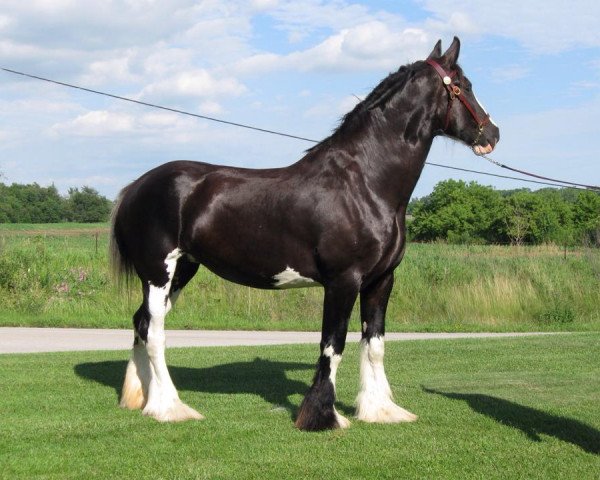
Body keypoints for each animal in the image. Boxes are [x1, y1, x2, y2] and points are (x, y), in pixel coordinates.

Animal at [110, 35, 500, 430]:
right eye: (465, 85)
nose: (493, 133)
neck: (364, 182)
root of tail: (135, 187)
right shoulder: (343, 281)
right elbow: (333, 345)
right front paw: (322, 416)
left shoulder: (381, 280)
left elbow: (374, 344)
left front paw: (380, 410)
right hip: (158, 273)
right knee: (155, 332)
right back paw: (169, 407)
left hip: (182, 270)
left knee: (141, 322)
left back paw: (141, 397)